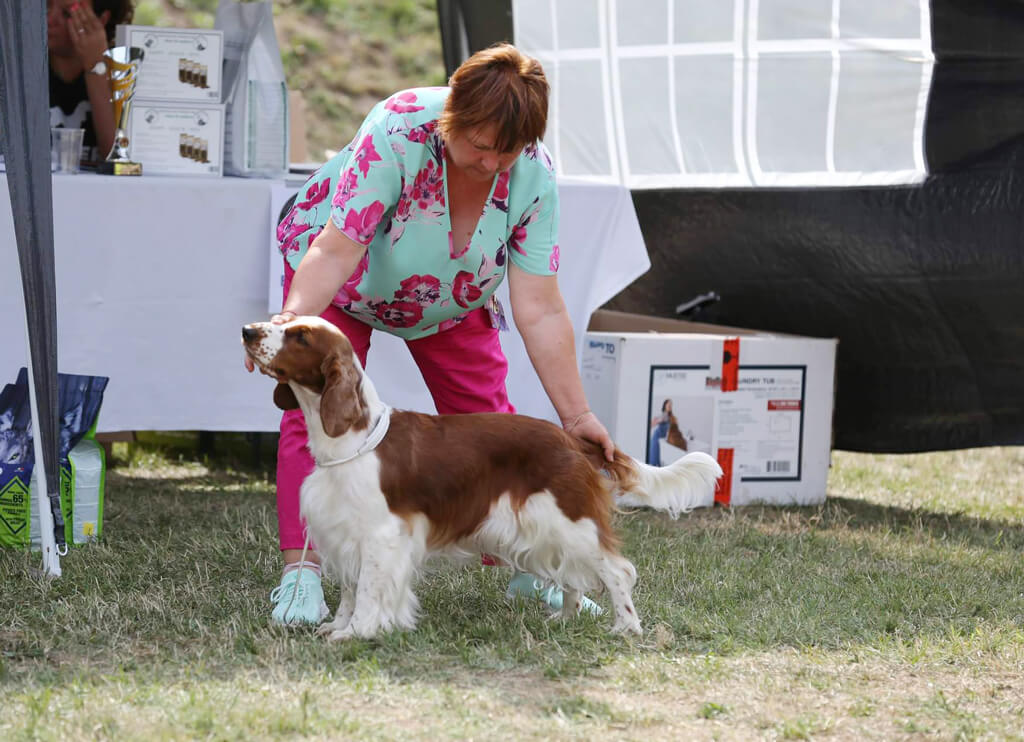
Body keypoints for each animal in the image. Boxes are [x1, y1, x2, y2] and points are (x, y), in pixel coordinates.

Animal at [241, 315, 720, 638]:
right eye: (282, 324)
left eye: (300, 336)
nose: (247, 330)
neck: (351, 436)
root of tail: (572, 439)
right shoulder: (345, 532)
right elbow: (350, 591)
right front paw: (337, 628)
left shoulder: (381, 535)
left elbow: (369, 592)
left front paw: (356, 634)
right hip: (549, 530)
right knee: (572, 574)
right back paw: (563, 618)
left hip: (570, 521)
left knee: (617, 571)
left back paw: (626, 628)